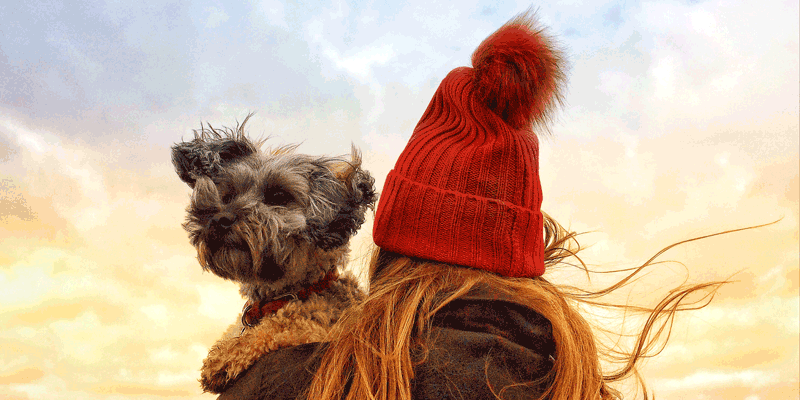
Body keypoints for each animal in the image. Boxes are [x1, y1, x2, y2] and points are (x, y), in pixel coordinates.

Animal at [170, 114, 376, 392]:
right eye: (227, 194)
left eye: (278, 196)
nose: (220, 219)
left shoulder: (316, 328)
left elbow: (282, 327)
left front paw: (226, 356)